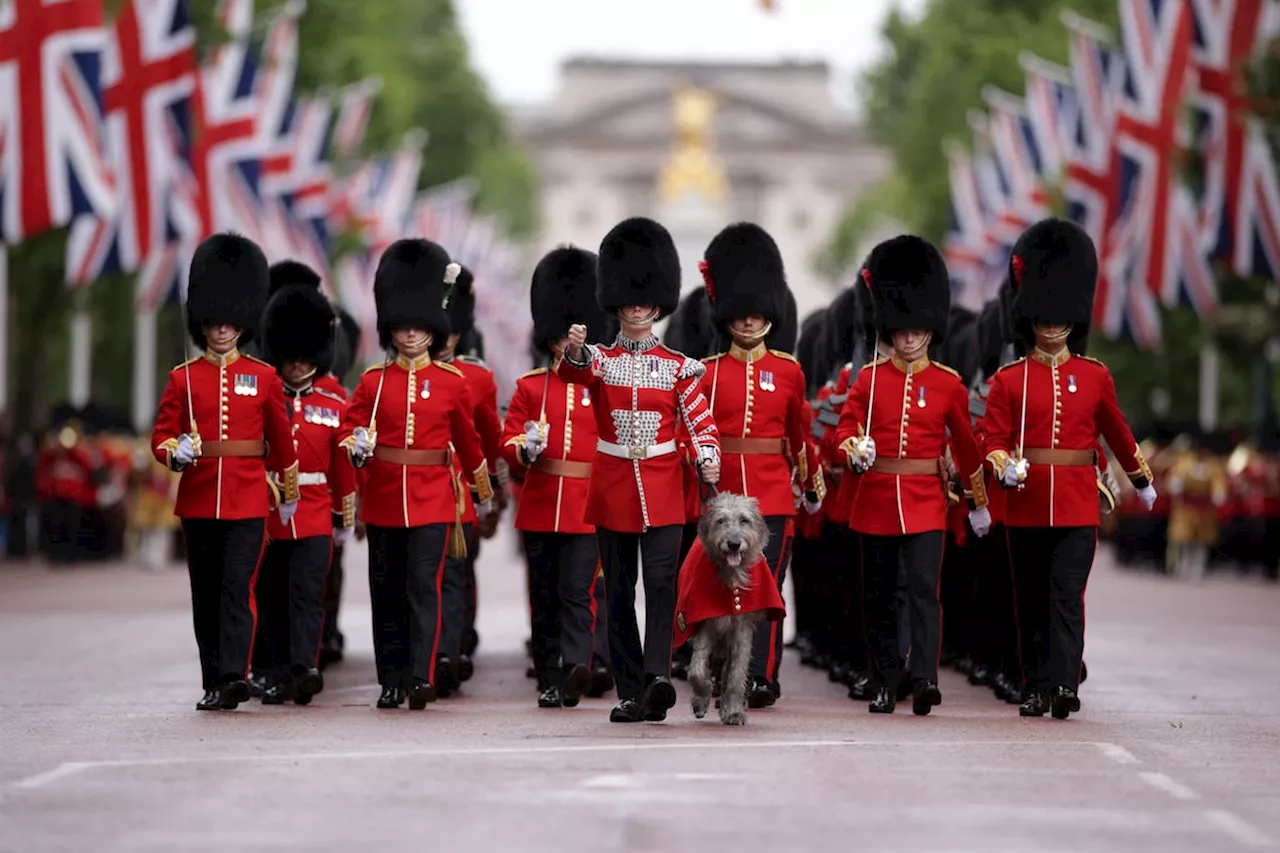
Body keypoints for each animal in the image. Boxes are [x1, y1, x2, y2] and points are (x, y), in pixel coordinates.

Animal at [691, 491, 768, 722]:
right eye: (721, 521)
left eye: (744, 520)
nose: (734, 544)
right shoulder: (705, 624)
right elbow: (697, 668)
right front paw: (703, 693)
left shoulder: (742, 630)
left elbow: (736, 673)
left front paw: (733, 710)